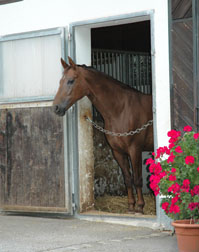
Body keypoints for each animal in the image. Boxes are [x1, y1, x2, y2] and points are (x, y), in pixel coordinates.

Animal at [53, 56, 154, 213]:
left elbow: (137, 179)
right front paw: (131, 206)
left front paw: (140, 207)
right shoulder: (117, 152)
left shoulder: (135, 150)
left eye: (70, 81)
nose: (56, 108)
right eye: (60, 81)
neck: (122, 110)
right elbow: (127, 179)